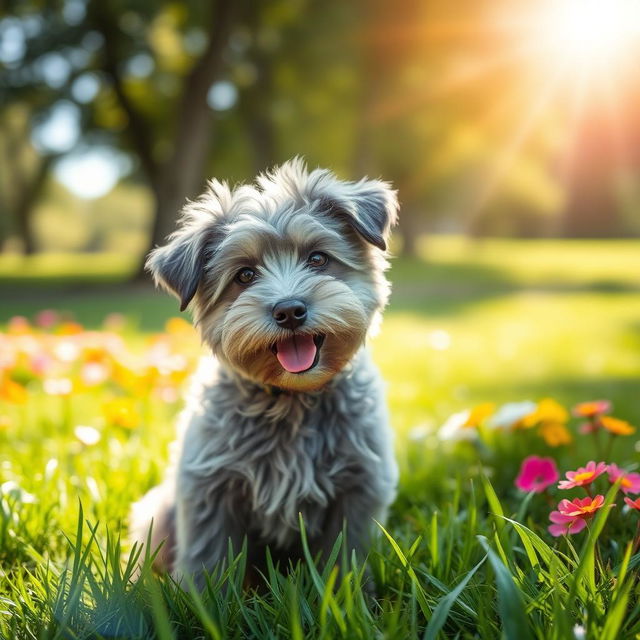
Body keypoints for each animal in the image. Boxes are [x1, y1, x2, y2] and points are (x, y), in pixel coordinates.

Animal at [129, 159, 400, 584]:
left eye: (318, 259)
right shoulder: (209, 489)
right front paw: (199, 598)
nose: (289, 310)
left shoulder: (360, 486)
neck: (291, 400)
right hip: (156, 512)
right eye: (244, 275)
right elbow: (209, 559)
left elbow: (345, 555)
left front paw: (348, 591)